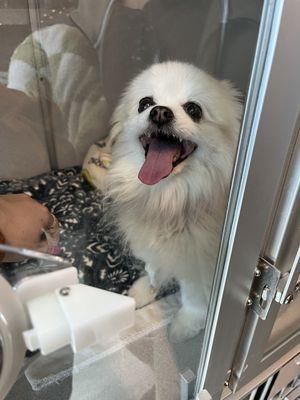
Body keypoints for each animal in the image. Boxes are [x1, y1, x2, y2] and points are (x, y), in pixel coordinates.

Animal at [105, 61, 241, 342]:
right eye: (145, 103)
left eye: (194, 110)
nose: (159, 112)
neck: (168, 199)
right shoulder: (153, 244)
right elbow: (152, 266)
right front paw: (146, 289)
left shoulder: (198, 265)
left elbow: (194, 299)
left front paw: (184, 326)